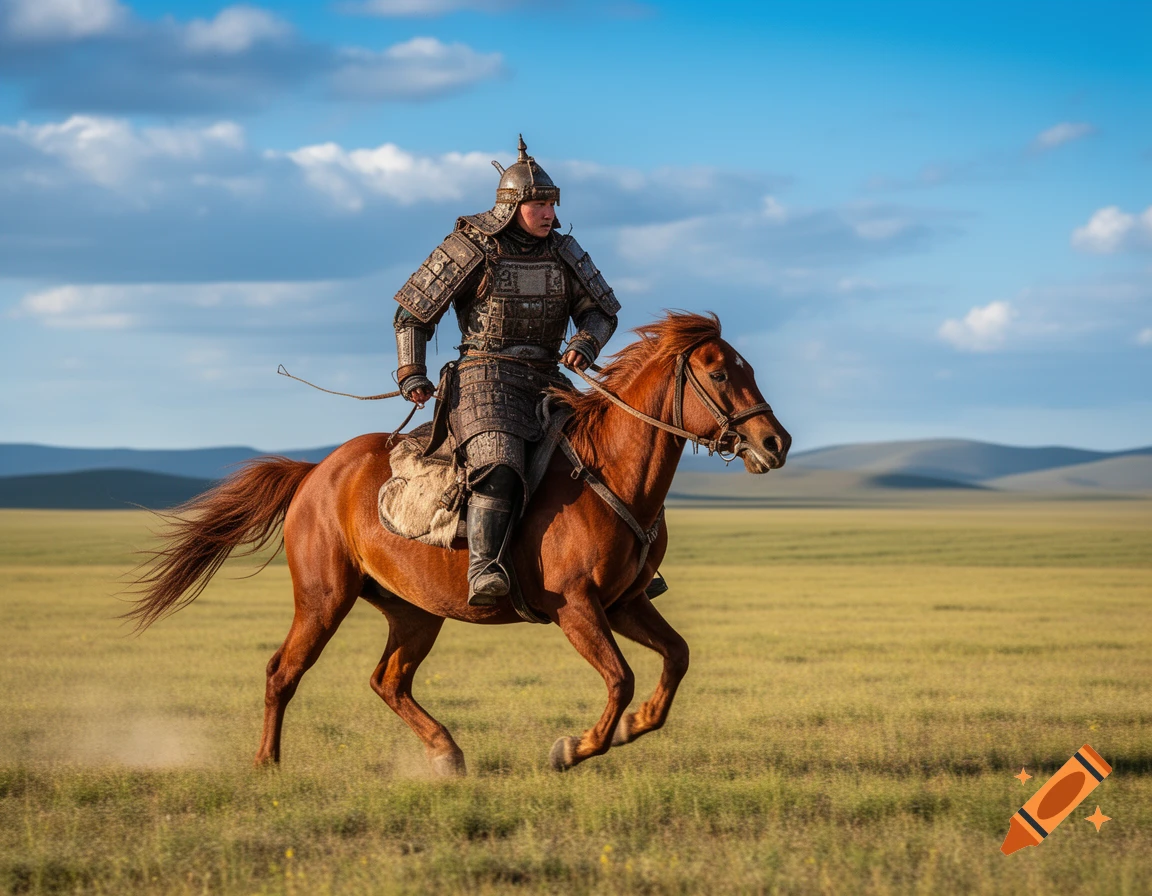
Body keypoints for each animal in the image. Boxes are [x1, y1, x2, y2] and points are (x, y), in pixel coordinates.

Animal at [126, 312, 791, 775]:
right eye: (719, 373)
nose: (776, 442)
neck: (610, 471)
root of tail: (315, 473)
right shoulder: (577, 609)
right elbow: (622, 677)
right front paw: (574, 748)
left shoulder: (625, 603)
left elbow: (676, 657)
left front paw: (635, 726)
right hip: (323, 598)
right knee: (281, 672)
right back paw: (267, 763)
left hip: (415, 611)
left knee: (388, 681)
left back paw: (447, 754)